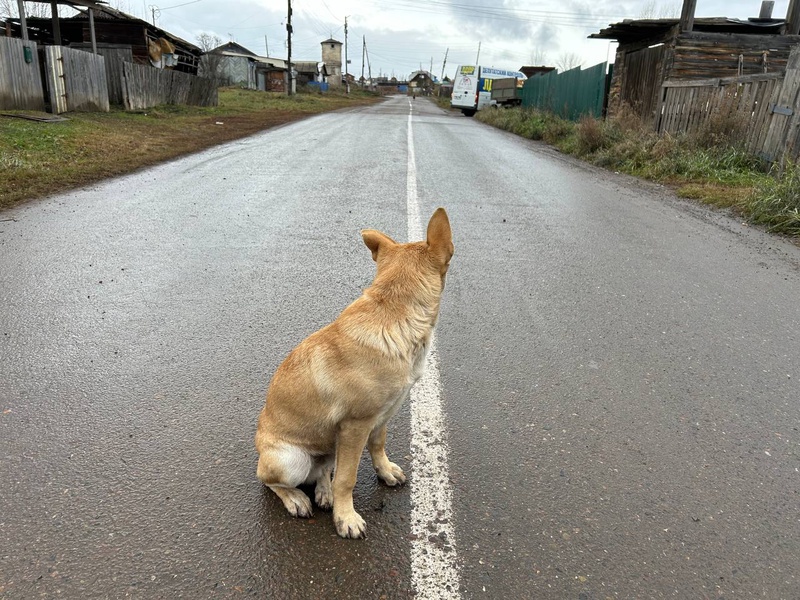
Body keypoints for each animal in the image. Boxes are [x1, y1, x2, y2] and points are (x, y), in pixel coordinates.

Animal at [256, 207, 456, 540]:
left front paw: (384, 471)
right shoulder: (355, 426)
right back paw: (296, 498)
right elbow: (346, 479)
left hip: (329, 446)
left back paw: (322, 492)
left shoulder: (380, 418)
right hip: (291, 460)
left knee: (324, 470)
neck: (394, 314)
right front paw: (346, 517)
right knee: (271, 481)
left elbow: (377, 447)